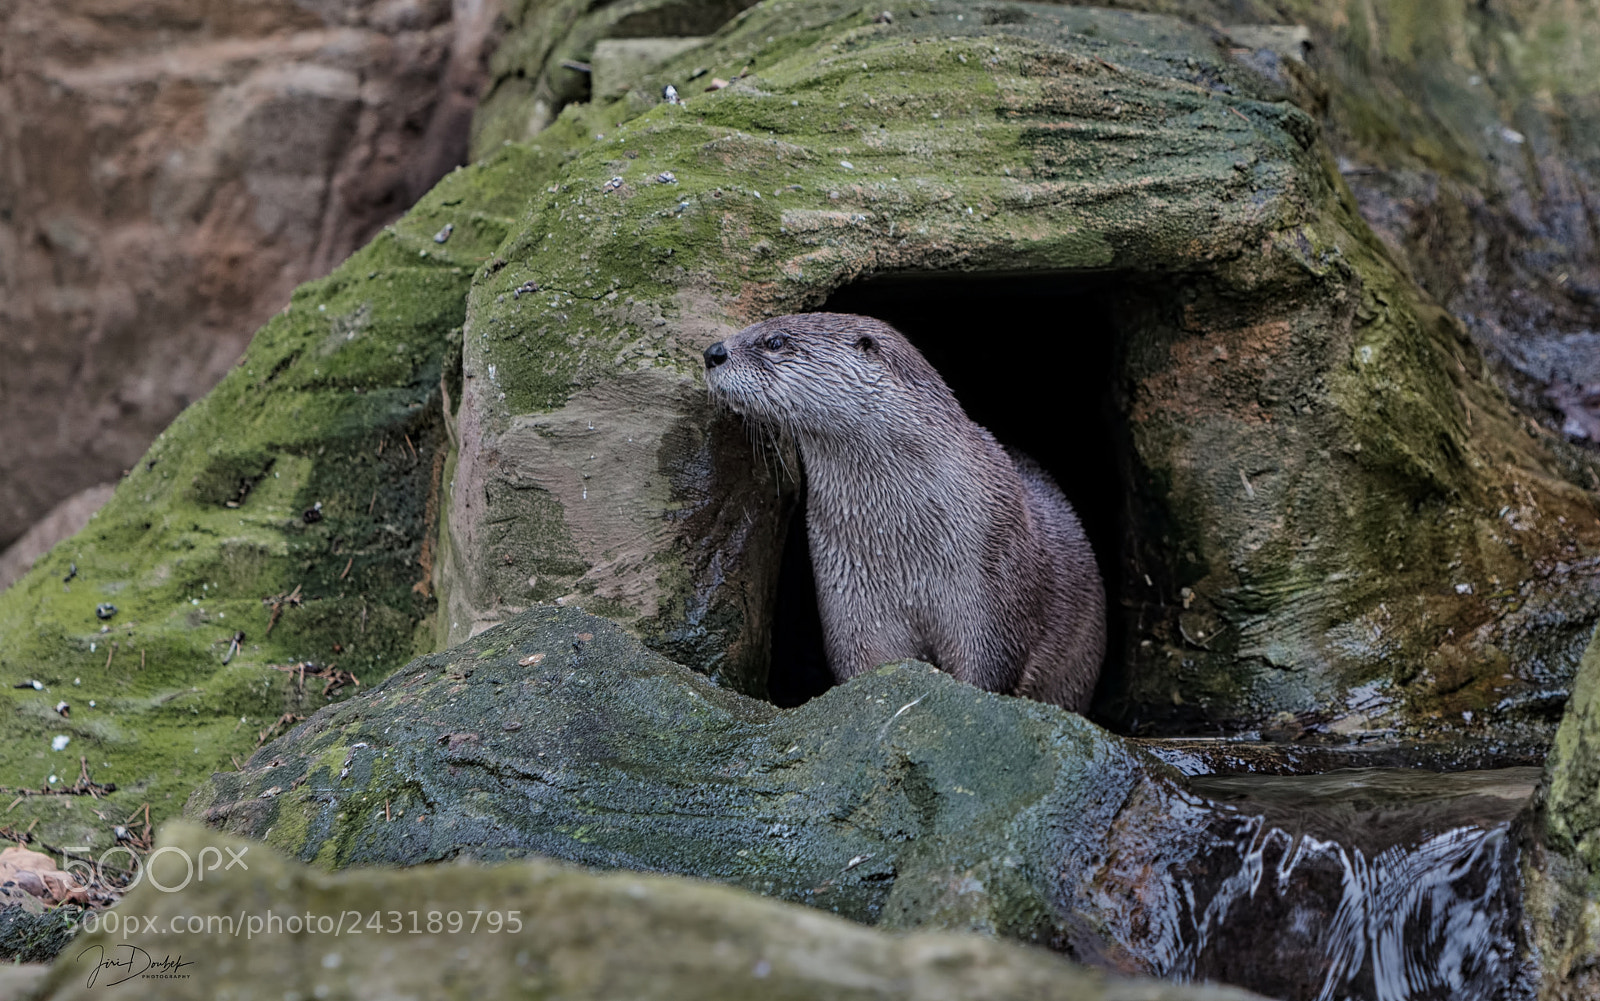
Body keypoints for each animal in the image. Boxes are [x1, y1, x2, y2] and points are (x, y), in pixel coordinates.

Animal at [703, 312, 1106, 712]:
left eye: (774, 341)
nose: (713, 352)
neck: (902, 545)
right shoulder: (851, 595)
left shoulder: (991, 591)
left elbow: (986, 675)